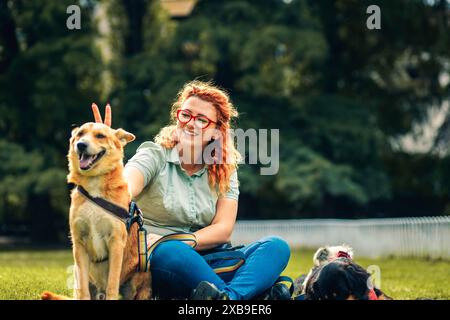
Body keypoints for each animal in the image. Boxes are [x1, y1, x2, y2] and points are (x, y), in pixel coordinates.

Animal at [42, 109, 150, 298]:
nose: (81, 145)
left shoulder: (116, 242)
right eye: (80, 134)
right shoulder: (79, 244)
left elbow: (112, 285)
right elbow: (84, 290)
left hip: (142, 273)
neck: (94, 185)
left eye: (100, 136)